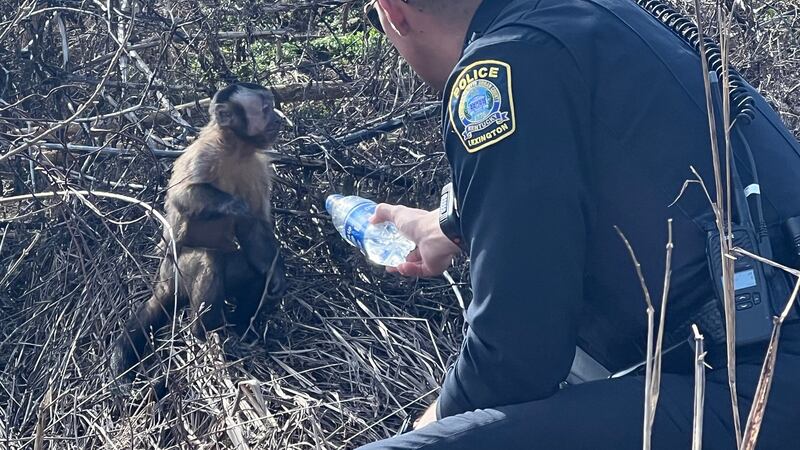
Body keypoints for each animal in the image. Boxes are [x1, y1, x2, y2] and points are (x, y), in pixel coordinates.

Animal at [111, 83, 287, 390]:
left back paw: (241, 329)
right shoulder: (204, 153)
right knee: (207, 261)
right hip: (175, 272)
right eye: (265, 109)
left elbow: (254, 229)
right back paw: (203, 332)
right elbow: (183, 196)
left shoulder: (258, 168)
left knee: (251, 273)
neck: (236, 150)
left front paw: (275, 274)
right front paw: (233, 205)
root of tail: (162, 282)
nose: (277, 119)